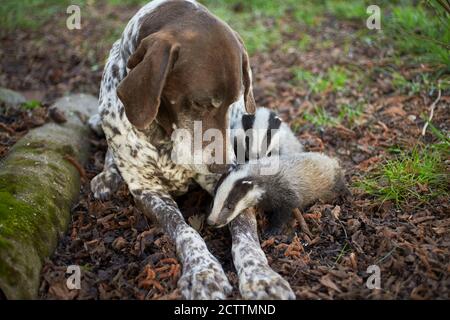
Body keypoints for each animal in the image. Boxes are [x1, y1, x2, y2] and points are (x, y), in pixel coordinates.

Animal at [90, 0, 296, 300]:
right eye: (200, 103)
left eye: (232, 102)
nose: (223, 166)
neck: (164, 135)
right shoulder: (148, 191)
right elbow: (185, 231)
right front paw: (203, 272)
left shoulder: (230, 182)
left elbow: (245, 234)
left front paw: (261, 276)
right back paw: (108, 175)